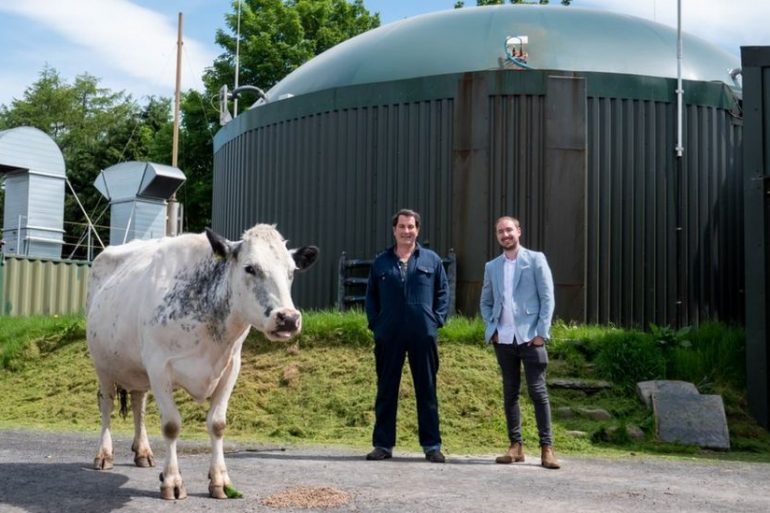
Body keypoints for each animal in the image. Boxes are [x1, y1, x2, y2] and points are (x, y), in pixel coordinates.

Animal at [87, 223, 318, 496]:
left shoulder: (231, 367)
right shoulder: (158, 367)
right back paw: (104, 454)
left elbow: (218, 424)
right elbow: (171, 425)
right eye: (250, 268)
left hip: (136, 369)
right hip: (103, 365)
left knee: (138, 404)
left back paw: (142, 451)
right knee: (107, 404)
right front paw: (172, 480)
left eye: (291, 271)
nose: (289, 318)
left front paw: (220, 480)